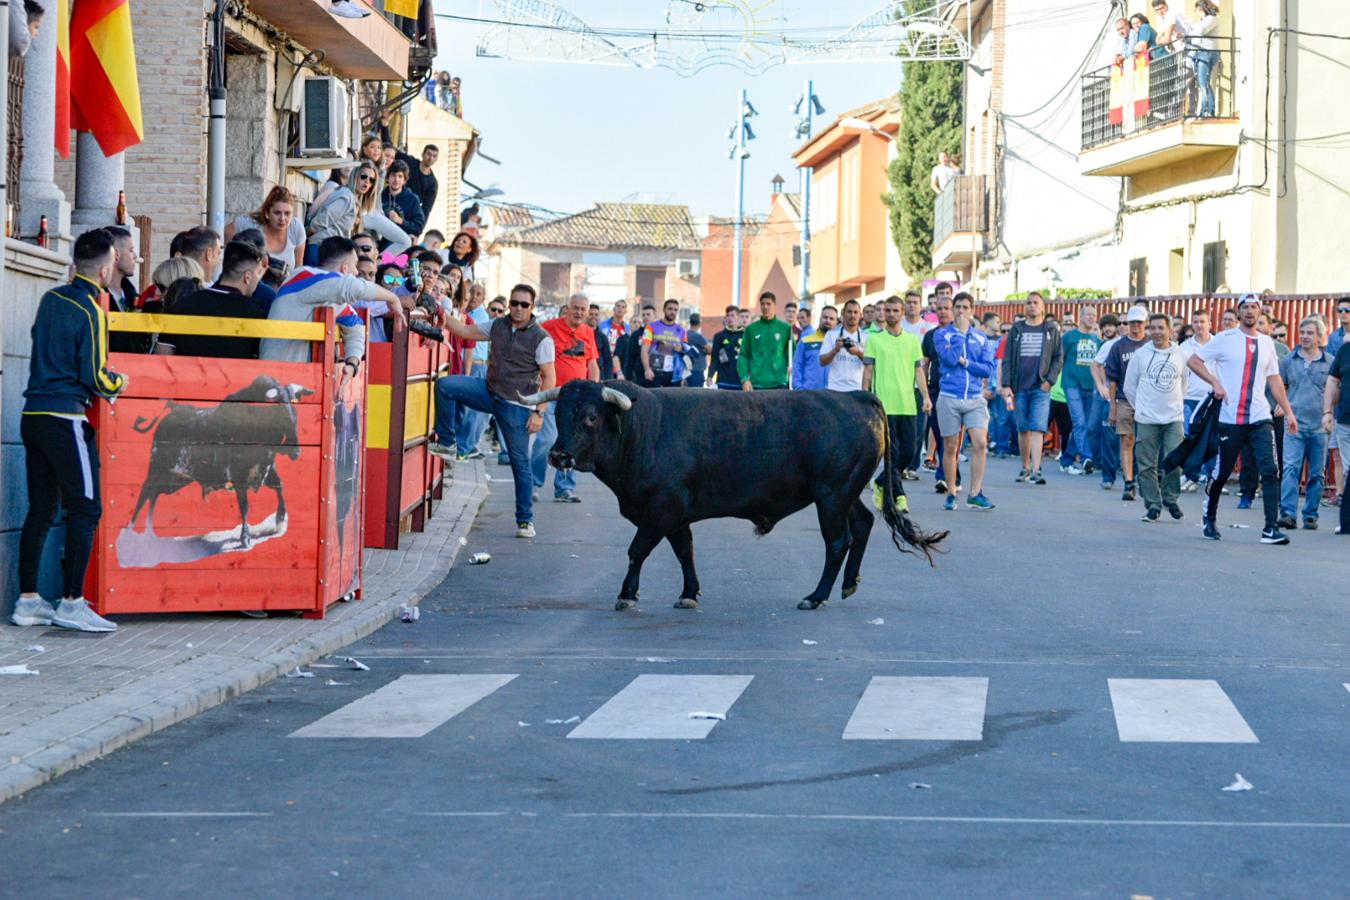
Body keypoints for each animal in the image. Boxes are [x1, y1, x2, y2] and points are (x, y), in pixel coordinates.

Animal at [526, 380, 950, 612]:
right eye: (559, 414)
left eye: (591, 416)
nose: (559, 455)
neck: (641, 428)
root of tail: (857, 397)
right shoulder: (675, 515)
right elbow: (685, 551)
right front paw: (690, 593)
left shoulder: (661, 509)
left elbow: (637, 550)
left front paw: (627, 594)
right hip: (843, 493)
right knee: (861, 525)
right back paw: (848, 584)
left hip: (831, 495)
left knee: (838, 541)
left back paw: (816, 595)